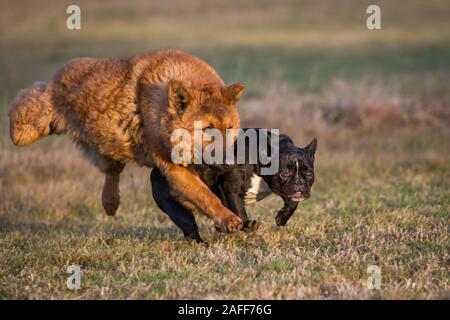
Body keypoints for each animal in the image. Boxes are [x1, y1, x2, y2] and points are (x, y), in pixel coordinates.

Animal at [8, 48, 244, 231]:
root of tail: (59, 73)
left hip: (107, 148)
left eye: (230, 127)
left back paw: (110, 203)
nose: (231, 162)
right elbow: (205, 195)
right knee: (27, 98)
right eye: (208, 129)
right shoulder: (173, 168)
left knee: (112, 173)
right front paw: (228, 219)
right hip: (30, 127)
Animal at [151, 129, 316, 242]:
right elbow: (239, 211)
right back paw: (202, 244)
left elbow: (293, 202)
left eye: (309, 174)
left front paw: (282, 217)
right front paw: (247, 225)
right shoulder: (231, 188)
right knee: (189, 226)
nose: (299, 182)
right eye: (283, 174)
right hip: (175, 207)